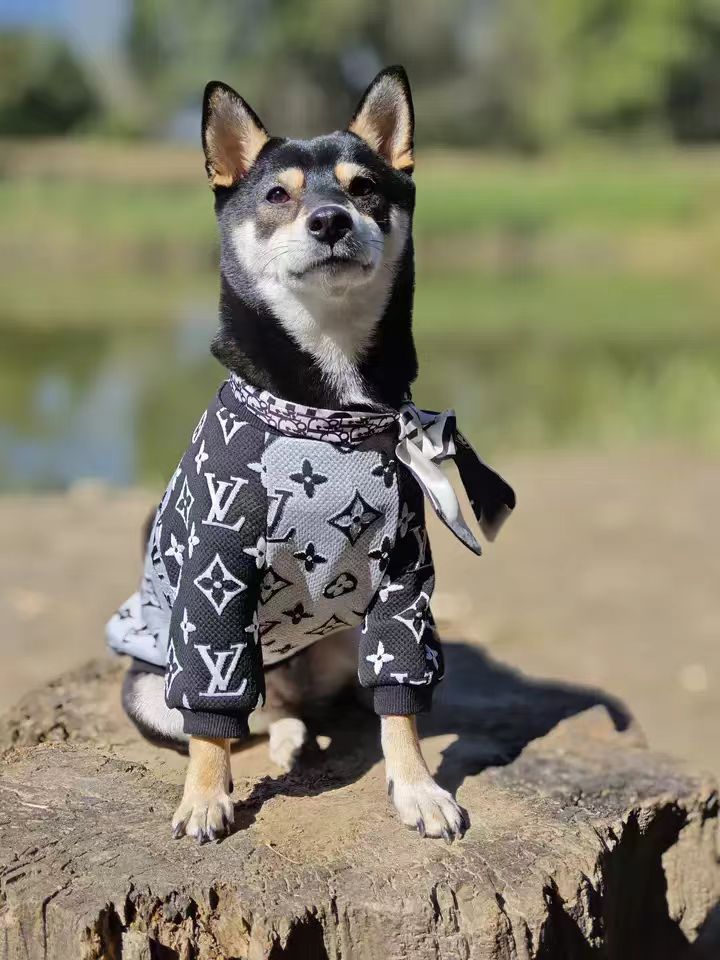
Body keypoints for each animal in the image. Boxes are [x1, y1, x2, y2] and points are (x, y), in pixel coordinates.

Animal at [105, 67, 512, 844]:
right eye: (277, 195)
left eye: (366, 188)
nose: (330, 220)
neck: (330, 411)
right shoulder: (217, 573)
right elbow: (212, 722)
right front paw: (205, 798)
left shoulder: (404, 578)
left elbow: (402, 704)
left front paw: (418, 788)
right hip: (149, 686)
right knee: (244, 718)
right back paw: (278, 742)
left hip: (343, 646)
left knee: (314, 706)